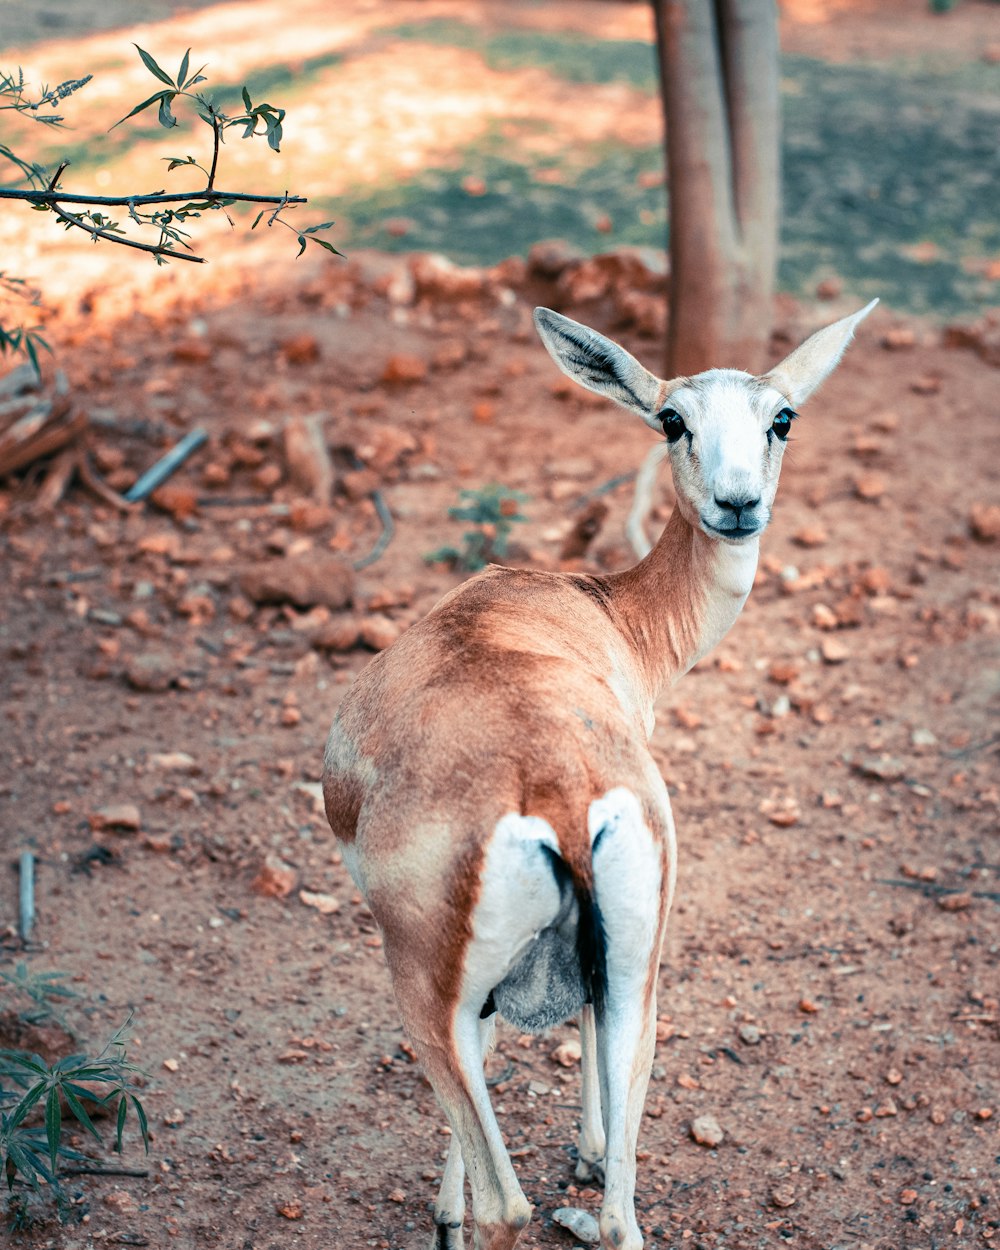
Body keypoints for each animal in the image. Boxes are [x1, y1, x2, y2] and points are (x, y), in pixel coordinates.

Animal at [322, 297, 875, 1245]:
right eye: (673, 419)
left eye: (782, 418)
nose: (737, 504)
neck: (603, 610)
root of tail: (561, 795)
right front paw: (581, 1152)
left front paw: (450, 1209)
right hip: (639, 971)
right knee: (624, 1214)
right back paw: (590, 1208)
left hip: (424, 997)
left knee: (508, 1201)